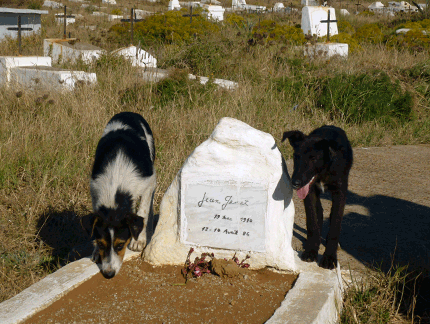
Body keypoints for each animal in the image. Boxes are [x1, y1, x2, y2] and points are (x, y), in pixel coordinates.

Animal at [89, 112, 156, 278]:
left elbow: (143, 210)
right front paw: (95, 250)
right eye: (102, 245)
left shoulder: (149, 181)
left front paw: (139, 240)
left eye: (120, 245)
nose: (108, 274)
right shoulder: (94, 191)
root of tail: (128, 113)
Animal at [282, 125, 352, 270]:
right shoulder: (310, 192)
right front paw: (311, 251)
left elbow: (335, 224)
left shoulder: (340, 193)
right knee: (318, 213)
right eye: (296, 156)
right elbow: (312, 221)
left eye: (313, 158)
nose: (295, 183)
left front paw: (330, 258)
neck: (324, 171)